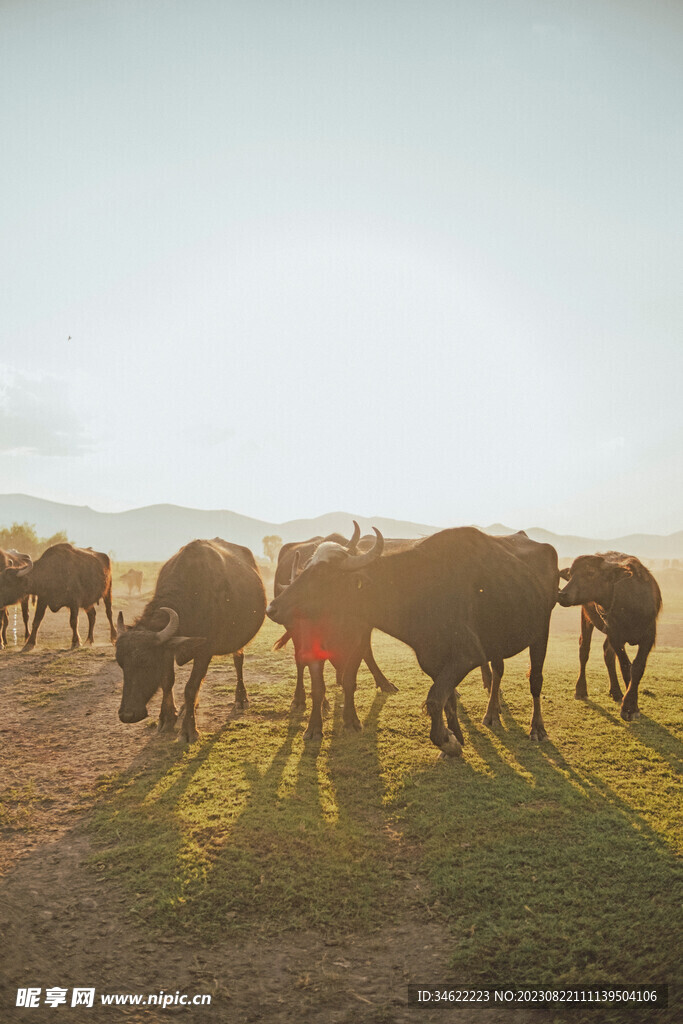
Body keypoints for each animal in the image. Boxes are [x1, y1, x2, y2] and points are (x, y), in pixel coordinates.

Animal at [116, 536, 266, 745]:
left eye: (146, 662)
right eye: (121, 663)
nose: (127, 715)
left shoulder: (205, 650)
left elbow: (190, 687)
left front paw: (188, 730)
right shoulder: (168, 651)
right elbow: (167, 681)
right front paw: (167, 717)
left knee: (238, 661)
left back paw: (241, 698)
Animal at [266, 528, 561, 753]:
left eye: (323, 574)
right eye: (305, 569)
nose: (272, 607)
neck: (418, 588)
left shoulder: (468, 655)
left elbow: (434, 699)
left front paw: (447, 741)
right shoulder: (431, 660)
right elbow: (447, 699)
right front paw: (455, 735)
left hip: (542, 633)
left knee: (535, 680)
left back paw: (537, 728)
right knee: (498, 672)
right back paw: (491, 714)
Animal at [557, 552, 663, 720]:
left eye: (590, 572)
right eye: (571, 574)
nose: (562, 595)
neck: (629, 603)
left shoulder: (648, 637)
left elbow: (637, 667)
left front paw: (631, 703)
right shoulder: (615, 635)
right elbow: (625, 666)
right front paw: (629, 707)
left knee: (607, 652)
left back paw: (616, 692)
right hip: (586, 617)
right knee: (584, 650)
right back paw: (581, 690)